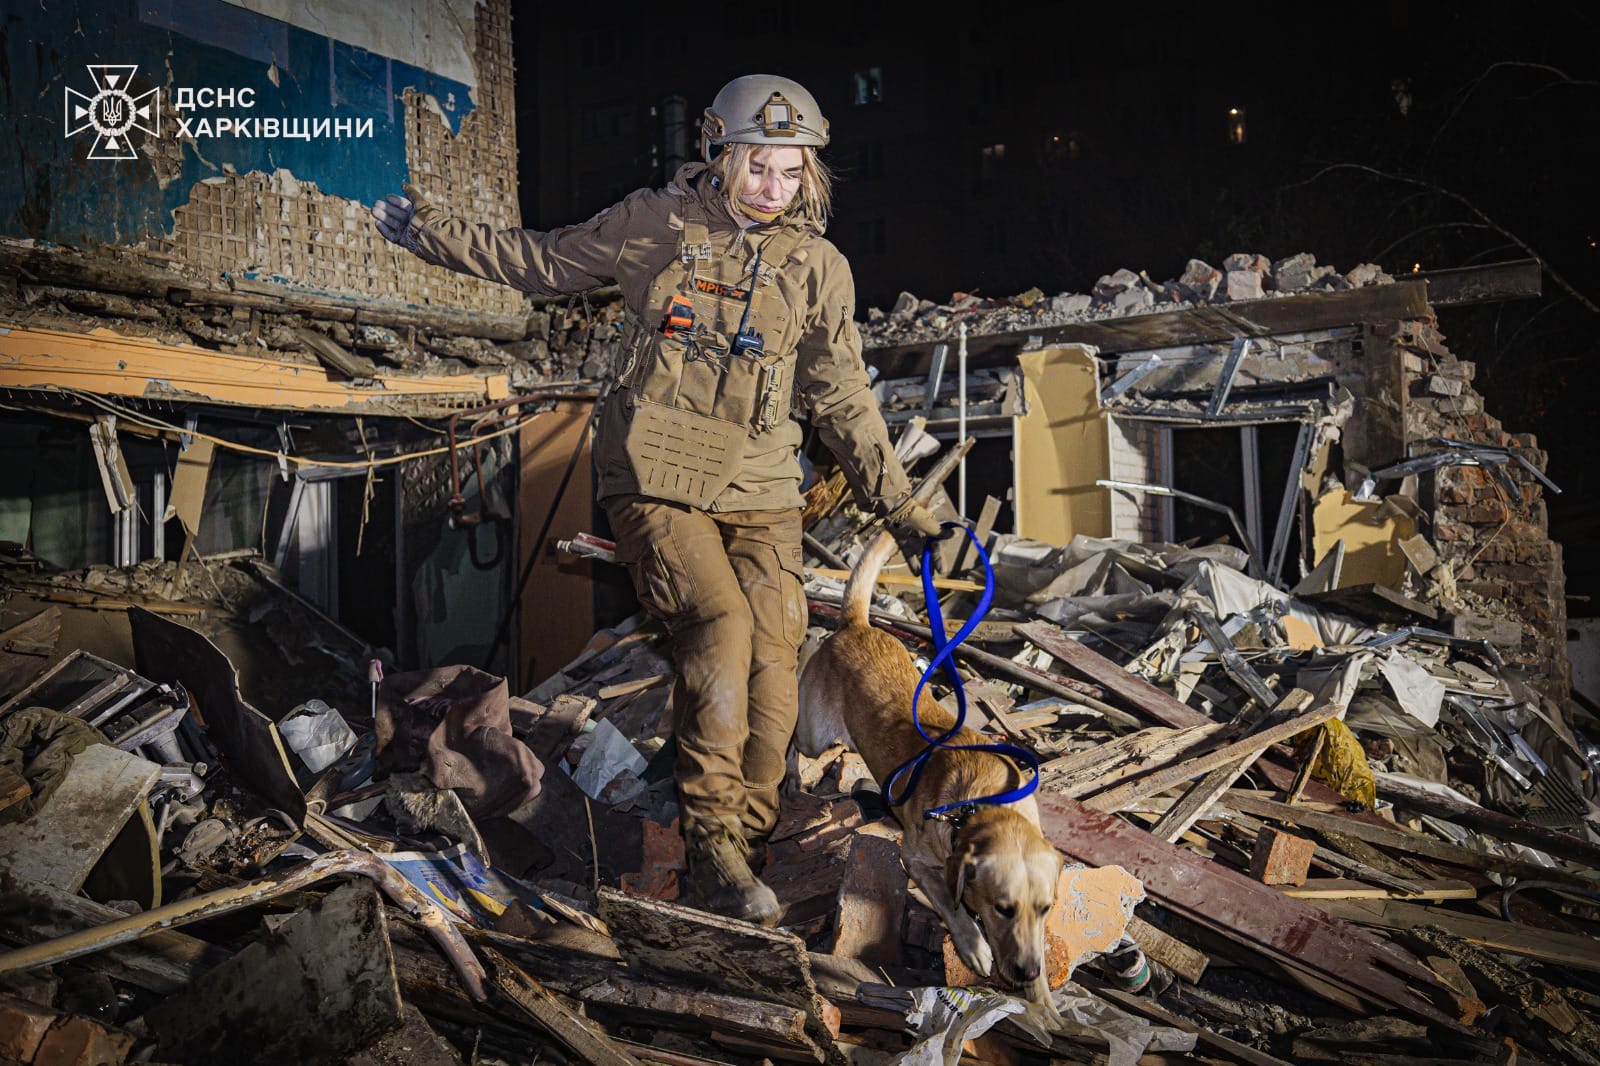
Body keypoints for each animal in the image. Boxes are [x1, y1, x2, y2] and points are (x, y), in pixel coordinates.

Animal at [796, 528, 1062, 998]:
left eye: (1045, 908)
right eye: (1003, 908)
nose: (1027, 972)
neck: (980, 804)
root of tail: (857, 624)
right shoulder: (916, 859)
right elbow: (950, 904)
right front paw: (973, 945)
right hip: (813, 734)